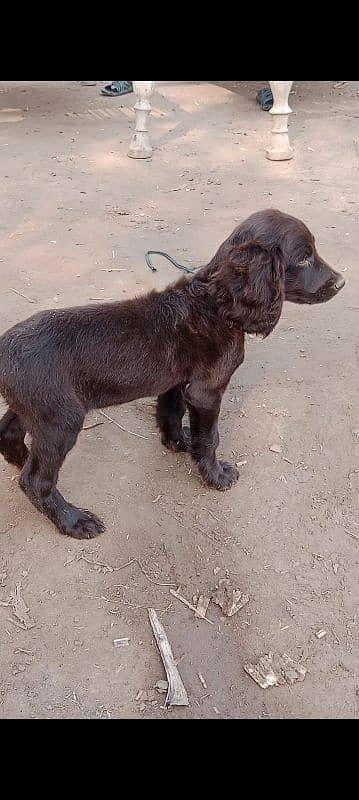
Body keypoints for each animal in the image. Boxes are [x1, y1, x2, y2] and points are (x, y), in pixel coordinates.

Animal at [1, 209, 348, 540]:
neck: (216, 303)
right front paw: (216, 476)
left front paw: (180, 442)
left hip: (37, 408)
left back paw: (22, 458)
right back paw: (73, 520)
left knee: (10, 432)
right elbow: (210, 437)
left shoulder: (177, 382)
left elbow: (171, 413)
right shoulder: (206, 391)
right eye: (303, 257)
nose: (341, 282)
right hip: (61, 418)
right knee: (36, 480)